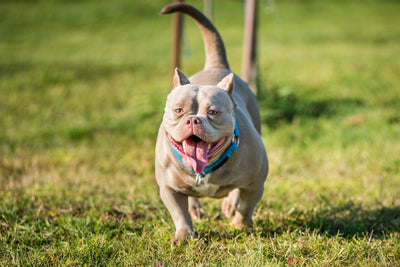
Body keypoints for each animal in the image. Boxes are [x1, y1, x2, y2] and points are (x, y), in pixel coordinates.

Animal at [155, 2, 268, 241]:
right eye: (179, 110)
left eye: (213, 112)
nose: (193, 120)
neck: (205, 170)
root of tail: (215, 66)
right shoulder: (168, 189)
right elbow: (178, 212)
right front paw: (184, 235)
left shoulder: (255, 184)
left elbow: (246, 207)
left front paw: (239, 227)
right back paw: (195, 208)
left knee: (237, 194)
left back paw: (229, 205)